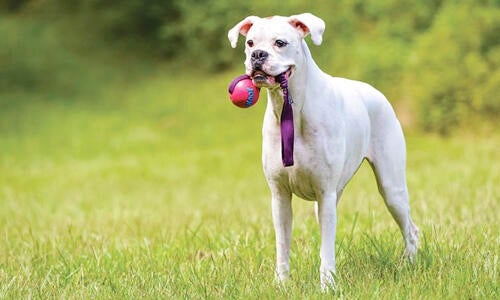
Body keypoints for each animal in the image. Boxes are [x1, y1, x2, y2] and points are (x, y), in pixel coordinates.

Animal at [229, 12, 420, 290]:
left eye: (280, 43)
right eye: (250, 43)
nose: (258, 55)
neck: (292, 109)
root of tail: (375, 92)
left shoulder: (325, 193)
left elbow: (326, 249)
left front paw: (328, 286)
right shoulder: (280, 197)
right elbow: (282, 245)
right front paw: (281, 283)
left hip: (391, 189)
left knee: (410, 229)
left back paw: (409, 265)